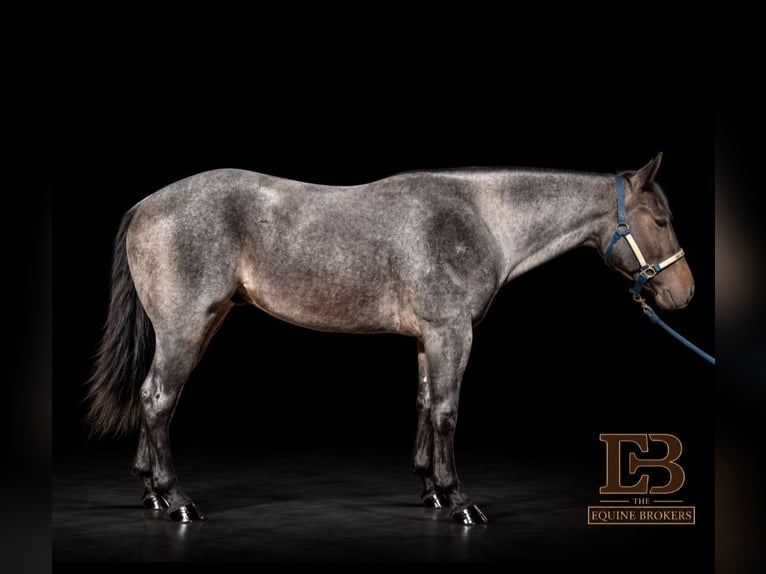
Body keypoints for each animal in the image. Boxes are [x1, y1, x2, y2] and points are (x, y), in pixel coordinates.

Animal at [85, 152, 694, 525]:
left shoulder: (429, 337)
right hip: (187, 326)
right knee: (158, 399)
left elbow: (424, 403)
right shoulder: (452, 333)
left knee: (152, 397)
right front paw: (460, 502)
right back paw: (177, 499)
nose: (683, 293)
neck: (479, 219)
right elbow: (447, 411)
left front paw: (430, 490)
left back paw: (153, 494)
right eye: (661, 220)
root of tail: (146, 205)